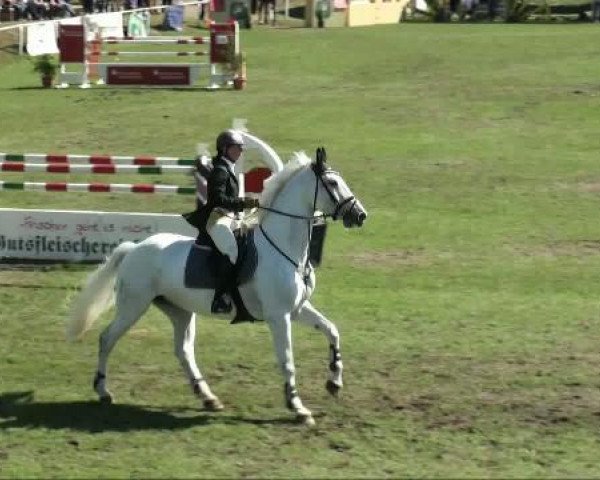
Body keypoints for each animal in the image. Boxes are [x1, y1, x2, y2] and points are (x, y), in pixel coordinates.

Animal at [65, 148, 366, 426]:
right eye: (332, 183)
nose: (360, 215)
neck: (284, 248)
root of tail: (133, 248)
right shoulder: (279, 316)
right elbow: (287, 360)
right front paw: (298, 408)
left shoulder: (297, 309)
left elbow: (332, 331)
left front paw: (334, 382)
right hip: (133, 306)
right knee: (107, 339)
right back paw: (103, 391)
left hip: (179, 311)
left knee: (183, 350)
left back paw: (207, 397)